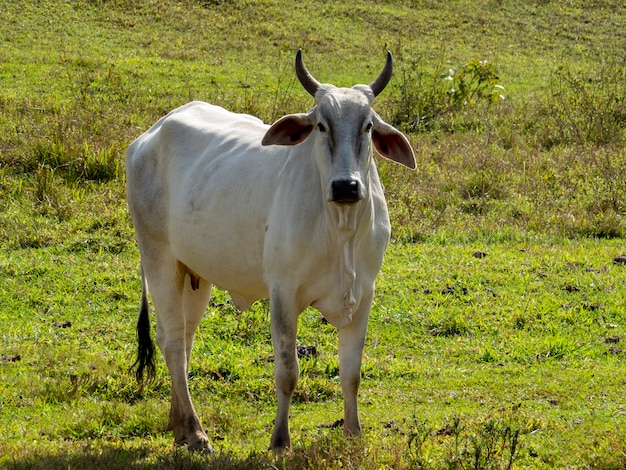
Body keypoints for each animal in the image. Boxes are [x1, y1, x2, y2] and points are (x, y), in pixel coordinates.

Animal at [126, 48, 414, 452]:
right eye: (320, 125)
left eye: (368, 126)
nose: (346, 186)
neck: (340, 228)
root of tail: (150, 135)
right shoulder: (283, 293)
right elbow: (287, 371)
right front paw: (280, 440)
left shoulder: (363, 294)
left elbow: (351, 372)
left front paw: (353, 435)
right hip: (159, 258)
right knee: (172, 343)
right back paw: (195, 431)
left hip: (194, 274)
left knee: (180, 340)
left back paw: (178, 424)